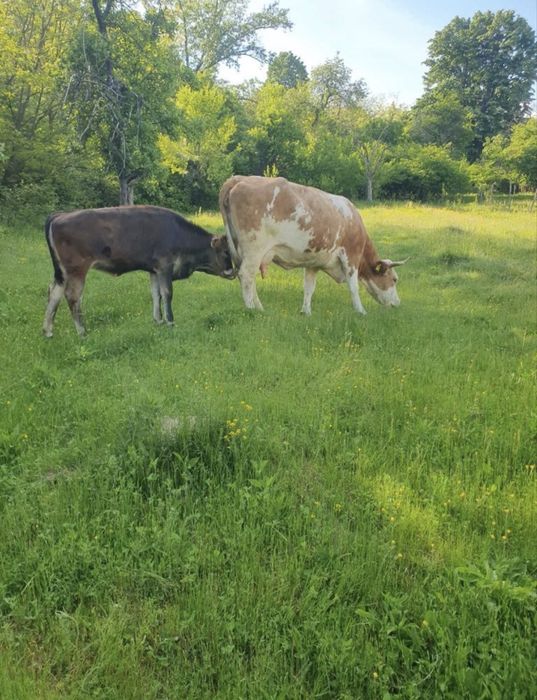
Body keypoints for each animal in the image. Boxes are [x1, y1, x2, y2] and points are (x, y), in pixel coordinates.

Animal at [43, 205, 235, 337]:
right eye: (226, 252)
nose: (231, 272)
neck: (179, 235)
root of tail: (59, 215)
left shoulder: (154, 270)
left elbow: (156, 294)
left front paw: (158, 320)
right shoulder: (165, 267)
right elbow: (167, 294)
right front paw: (170, 321)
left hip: (61, 273)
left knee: (54, 292)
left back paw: (48, 331)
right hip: (76, 271)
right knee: (73, 297)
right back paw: (82, 332)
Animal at [219, 176, 407, 315]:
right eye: (394, 279)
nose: (398, 303)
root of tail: (238, 179)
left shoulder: (313, 262)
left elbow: (309, 287)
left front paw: (306, 312)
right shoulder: (351, 256)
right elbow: (353, 287)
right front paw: (361, 311)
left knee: (248, 278)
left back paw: (259, 307)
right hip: (255, 248)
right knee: (246, 276)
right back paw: (252, 309)